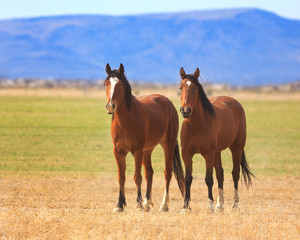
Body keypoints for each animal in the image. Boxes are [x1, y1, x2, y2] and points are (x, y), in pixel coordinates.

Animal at [105, 63, 185, 212]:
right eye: (106, 83)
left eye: (121, 84)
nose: (110, 106)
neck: (126, 121)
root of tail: (168, 102)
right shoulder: (118, 151)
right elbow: (121, 177)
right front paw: (119, 205)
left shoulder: (137, 151)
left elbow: (137, 177)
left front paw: (138, 204)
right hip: (147, 150)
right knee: (150, 173)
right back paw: (148, 203)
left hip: (168, 144)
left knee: (167, 172)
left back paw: (163, 205)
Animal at [178, 67, 253, 212]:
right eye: (180, 87)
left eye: (195, 88)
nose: (185, 110)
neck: (196, 125)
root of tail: (235, 103)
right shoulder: (186, 154)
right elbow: (188, 178)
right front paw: (185, 206)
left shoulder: (208, 154)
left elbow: (208, 179)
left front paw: (210, 205)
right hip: (217, 152)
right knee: (220, 174)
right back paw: (220, 204)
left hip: (236, 148)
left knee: (235, 173)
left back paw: (234, 204)